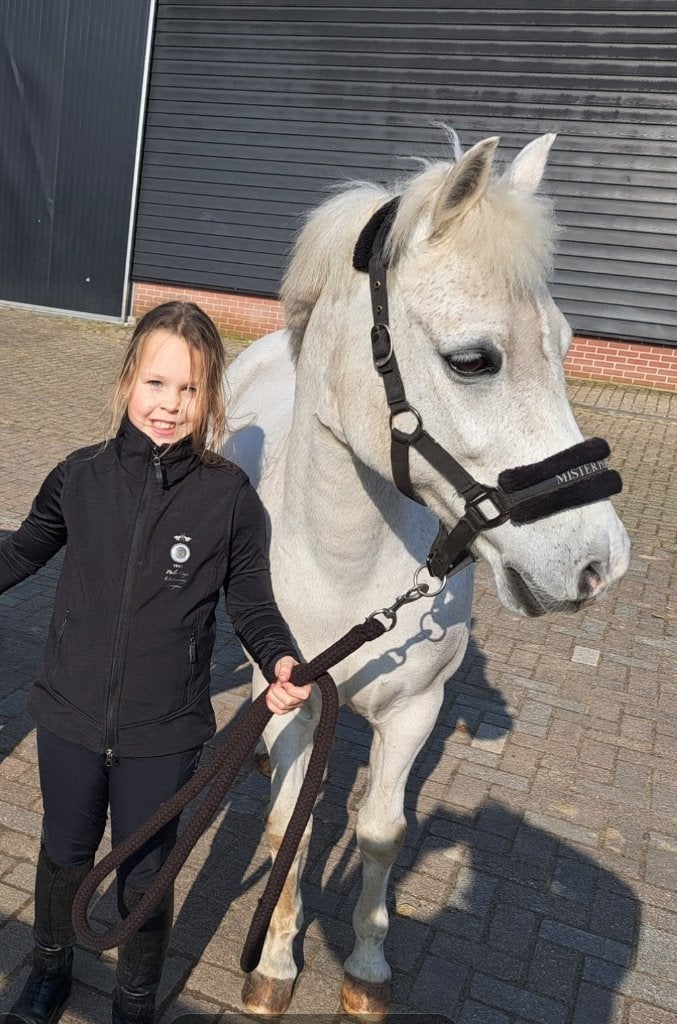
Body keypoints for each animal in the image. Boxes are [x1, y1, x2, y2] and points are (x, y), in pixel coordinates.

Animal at [224, 132, 630, 1019]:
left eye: (566, 344)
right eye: (473, 360)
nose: (598, 564)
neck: (345, 572)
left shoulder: (414, 709)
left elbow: (381, 833)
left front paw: (367, 968)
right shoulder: (298, 695)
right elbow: (290, 825)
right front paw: (272, 963)